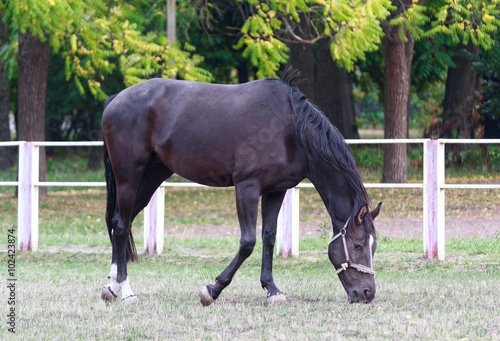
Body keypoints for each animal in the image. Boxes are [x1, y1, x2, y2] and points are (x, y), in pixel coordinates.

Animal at [101, 67, 382, 304]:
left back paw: (112, 287)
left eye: (373, 246)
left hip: (150, 178)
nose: (367, 293)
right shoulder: (247, 187)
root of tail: (115, 100)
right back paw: (126, 291)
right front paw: (213, 289)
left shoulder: (275, 190)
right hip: (129, 177)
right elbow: (248, 242)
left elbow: (269, 237)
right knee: (122, 226)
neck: (289, 129)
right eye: (358, 245)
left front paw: (272, 290)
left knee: (119, 223)